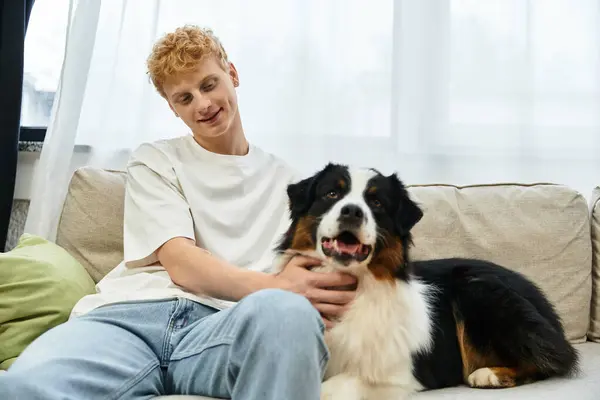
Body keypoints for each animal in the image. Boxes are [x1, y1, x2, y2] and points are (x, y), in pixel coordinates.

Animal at [274, 163, 580, 400]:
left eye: (376, 202)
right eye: (331, 193)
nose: (351, 211)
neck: (352, 283)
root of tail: (539, 296)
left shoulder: (397, 375)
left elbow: (331, 386)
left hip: (478, 289)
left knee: (556, 358)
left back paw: (490, 374)